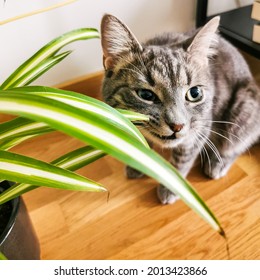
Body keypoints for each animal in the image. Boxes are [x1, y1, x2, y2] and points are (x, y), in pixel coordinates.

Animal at [100, 13, 260, 203]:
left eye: (195, 93)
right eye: (146, 95)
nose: (177, 126)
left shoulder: (199, 129)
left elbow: (182, 161)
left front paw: (173, 187)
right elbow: (143, 143)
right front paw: (140, 164)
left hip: (243, 110)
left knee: (236, 142)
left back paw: (217, 163)